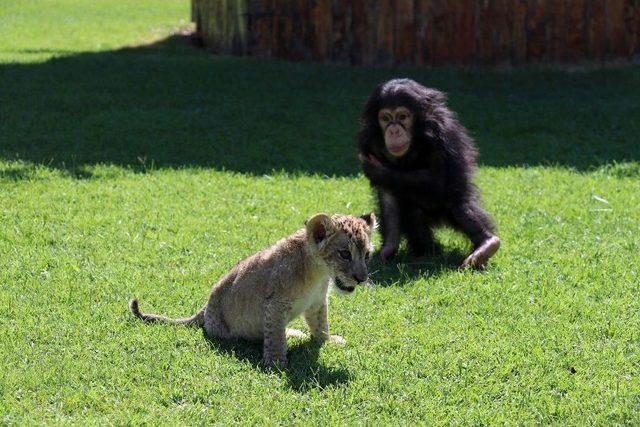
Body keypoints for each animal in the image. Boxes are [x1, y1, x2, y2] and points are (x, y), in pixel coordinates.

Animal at [356, 78, 500, 270]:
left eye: (402, 117)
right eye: (385, 118)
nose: (393, 130)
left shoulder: (442, 134)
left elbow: (441, 180)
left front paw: (378, 170)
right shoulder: (371, 142)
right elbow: (388, 195)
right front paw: (388, 248)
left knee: (458, 204)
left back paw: (487, 244)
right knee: (412, 210)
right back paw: (425, 252)